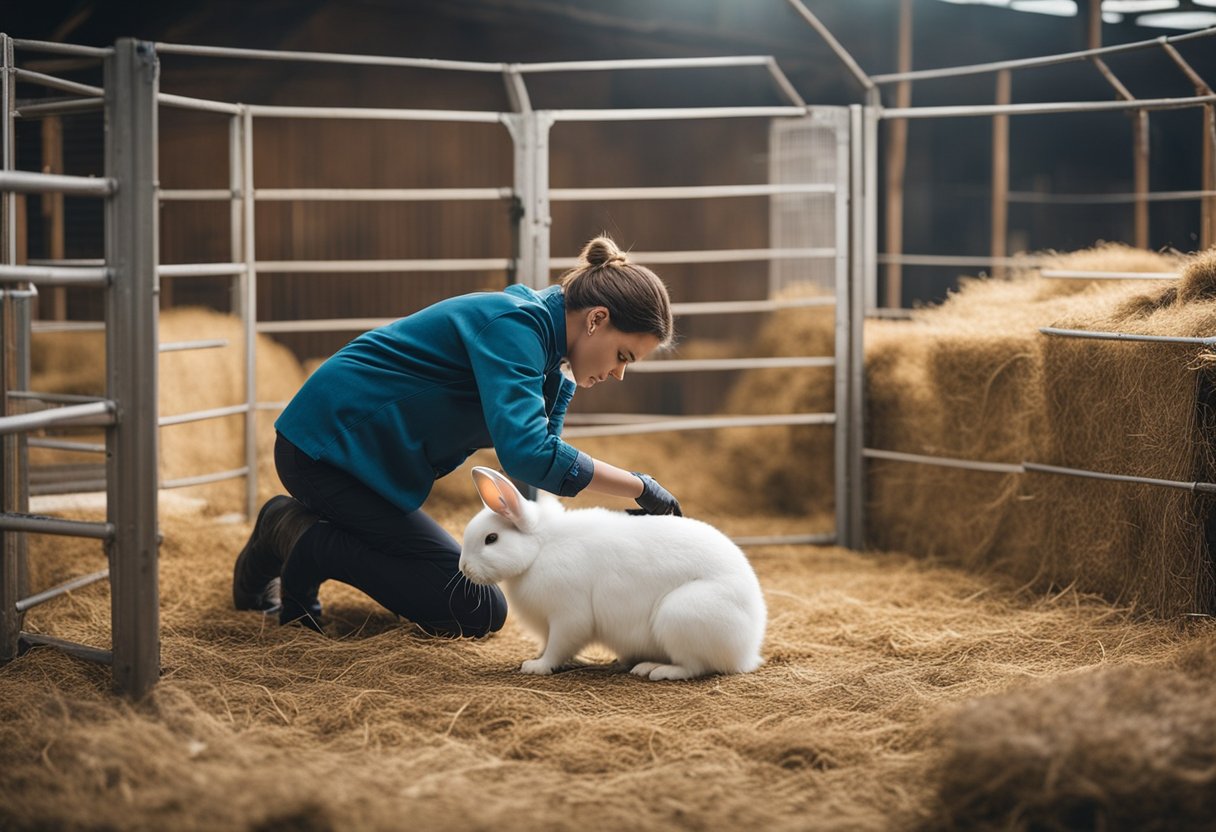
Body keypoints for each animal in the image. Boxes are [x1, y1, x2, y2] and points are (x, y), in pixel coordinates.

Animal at [459, 464, 763, 681]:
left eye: (491, 539)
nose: (463, 567)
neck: (540, 549)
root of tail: (748, 650)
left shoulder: (568, 617)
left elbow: (558, 647)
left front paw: (537, 666)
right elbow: (548, 643)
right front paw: (536, 657)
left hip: (680, 615)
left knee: (695, 665)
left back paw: (655, 670)